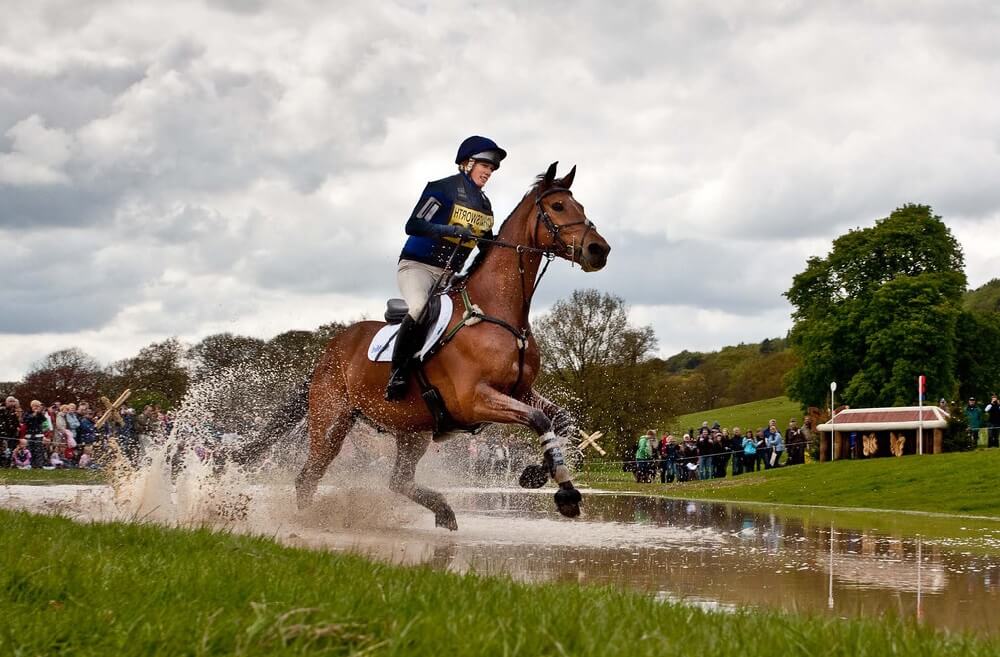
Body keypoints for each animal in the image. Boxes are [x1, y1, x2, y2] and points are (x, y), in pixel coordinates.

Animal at [274, 161, 608, 532]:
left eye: (580, 206)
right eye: (558, 206)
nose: (599, 250)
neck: (498, 311)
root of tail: (330, 349)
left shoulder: (519, 391)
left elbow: (561, 420)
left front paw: (537, 473)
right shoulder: (474, 399)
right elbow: (538, 419)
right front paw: (566, 494)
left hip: (412, 430)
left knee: (398, 481)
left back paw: (444, 512)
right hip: (331, 422)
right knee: (309, 476)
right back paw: (308, 522)